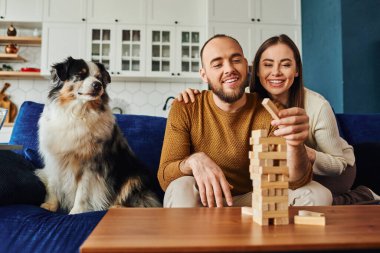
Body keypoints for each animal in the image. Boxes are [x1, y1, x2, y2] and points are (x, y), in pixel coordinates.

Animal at [37, 56, 163, 213]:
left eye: (99, 78)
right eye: (80, 75)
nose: (97, 85)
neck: (78, 113)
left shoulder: (92, 163)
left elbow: (83, 190)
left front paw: (77, 211)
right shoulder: (54, 158)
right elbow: (53, 183)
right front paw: (50, 205)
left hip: (134, 175)